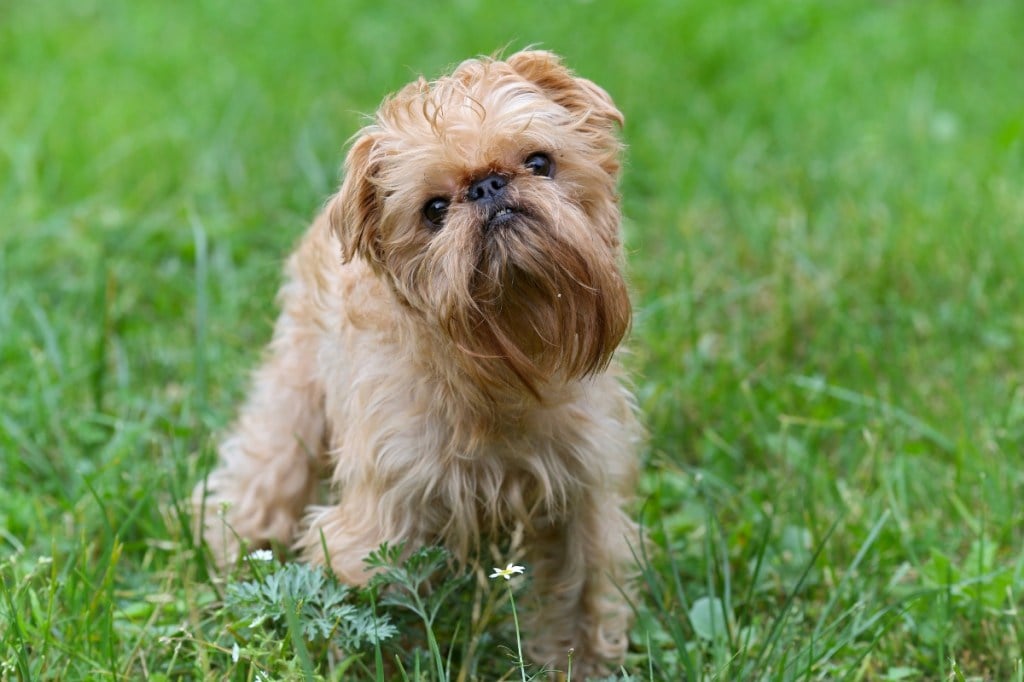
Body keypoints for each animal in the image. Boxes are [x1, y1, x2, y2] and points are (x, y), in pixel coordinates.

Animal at [192, 50, 638, 671]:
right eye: (434, 209)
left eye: (539, 162)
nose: (488, 185)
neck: (502, 361)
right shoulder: (384, 514)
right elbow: (370, 604)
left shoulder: (583, 496)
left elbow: (581, 599)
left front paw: (581, 667)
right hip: (293, 394)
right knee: (260, 477)